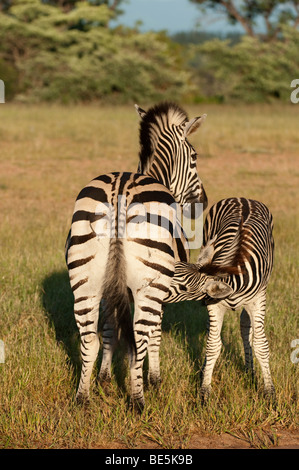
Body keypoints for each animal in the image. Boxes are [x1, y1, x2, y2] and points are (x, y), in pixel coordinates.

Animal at [66, 102, 209, 408]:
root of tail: (119, 190)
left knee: (89, 339)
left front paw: (104, 377)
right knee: (141, 338)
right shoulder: (166, 289)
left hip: (85, 282)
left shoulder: (110, 290)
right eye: (194, 157)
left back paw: (83, 397)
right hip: (149, 287)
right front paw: (154, 379)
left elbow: (110, 330)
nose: (202, 201)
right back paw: (138, 400)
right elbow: (155, 335)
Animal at [166, 197, 276, 400]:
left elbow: (261, 345)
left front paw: (270, 393)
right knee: (212, 329)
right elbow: (212, 345)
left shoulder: (258, 301)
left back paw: (249, 371)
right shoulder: (213, 305)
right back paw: (205, 370)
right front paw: (204, 391)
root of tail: (242, 198)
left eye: (184, 287)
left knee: (245, 326)